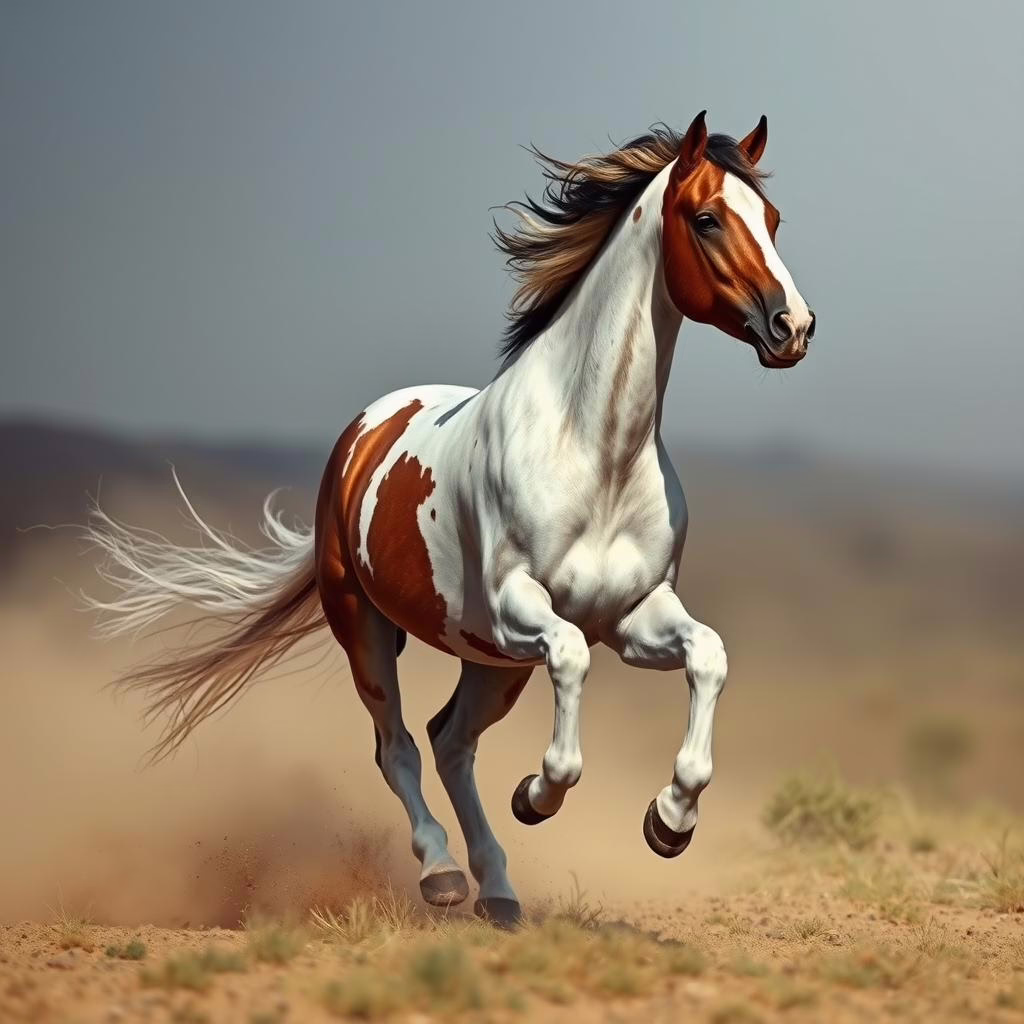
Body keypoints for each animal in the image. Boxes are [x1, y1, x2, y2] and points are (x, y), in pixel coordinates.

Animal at [86, 111, 815, 929]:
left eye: (773, 220)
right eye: (708, 218)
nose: (793, 325)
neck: (594, 454)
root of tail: (362, 435)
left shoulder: (633, 616)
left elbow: (708, 655)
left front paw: (669, 821)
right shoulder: (516, 610)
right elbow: (571, 669)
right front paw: (538, 795)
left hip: (491, 663)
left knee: (450, 742)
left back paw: (498, 891)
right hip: (372, 627)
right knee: (398, 745)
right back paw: (442, 874)